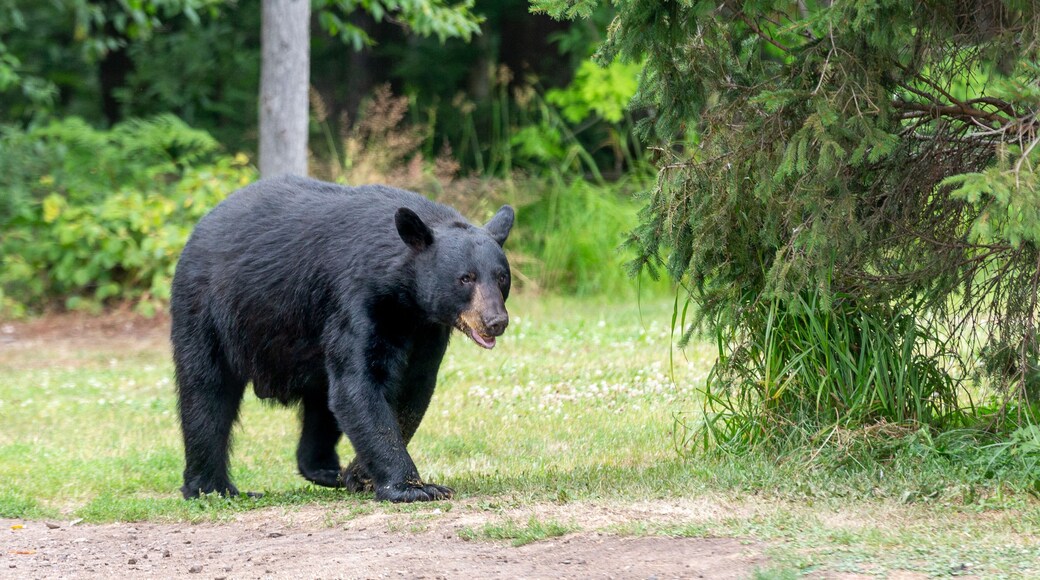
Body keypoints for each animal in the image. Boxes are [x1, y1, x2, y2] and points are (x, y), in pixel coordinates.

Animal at [170, 175, 513, 503]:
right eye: (465, 278)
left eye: (502, 277)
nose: (495, 321)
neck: (404, 300)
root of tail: (199, 228)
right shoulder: (357, 299)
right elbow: (358, 385)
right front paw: (414, 487)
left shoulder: (425, 330)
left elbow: (412, 389)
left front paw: (360, 475)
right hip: (206, 310)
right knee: (206, 393)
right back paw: (211, 487)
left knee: (321, 405)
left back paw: (326, 470)